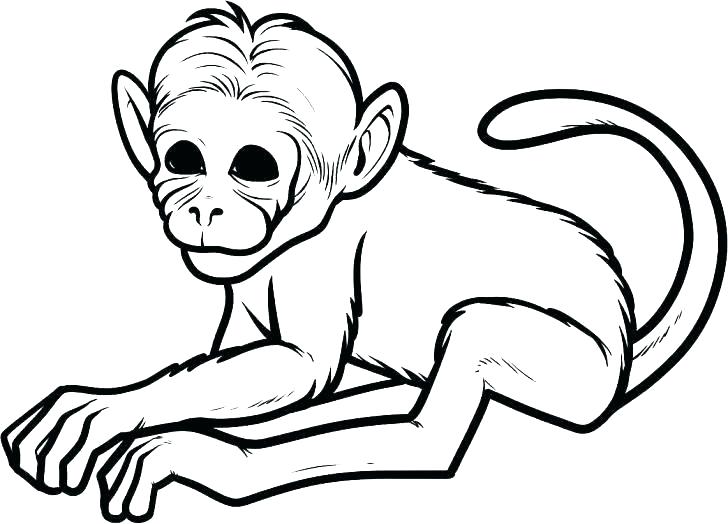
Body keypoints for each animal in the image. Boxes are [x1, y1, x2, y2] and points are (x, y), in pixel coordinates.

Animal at [2, 3, 725, 522]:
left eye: (253, 167)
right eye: (183, 159)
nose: (205, 209)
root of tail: (624, 339)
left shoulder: (318, 260)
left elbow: (302, 366)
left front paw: (131, 416)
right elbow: (240, 363)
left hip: (575, 369)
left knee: (435, 419)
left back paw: (225, 461)